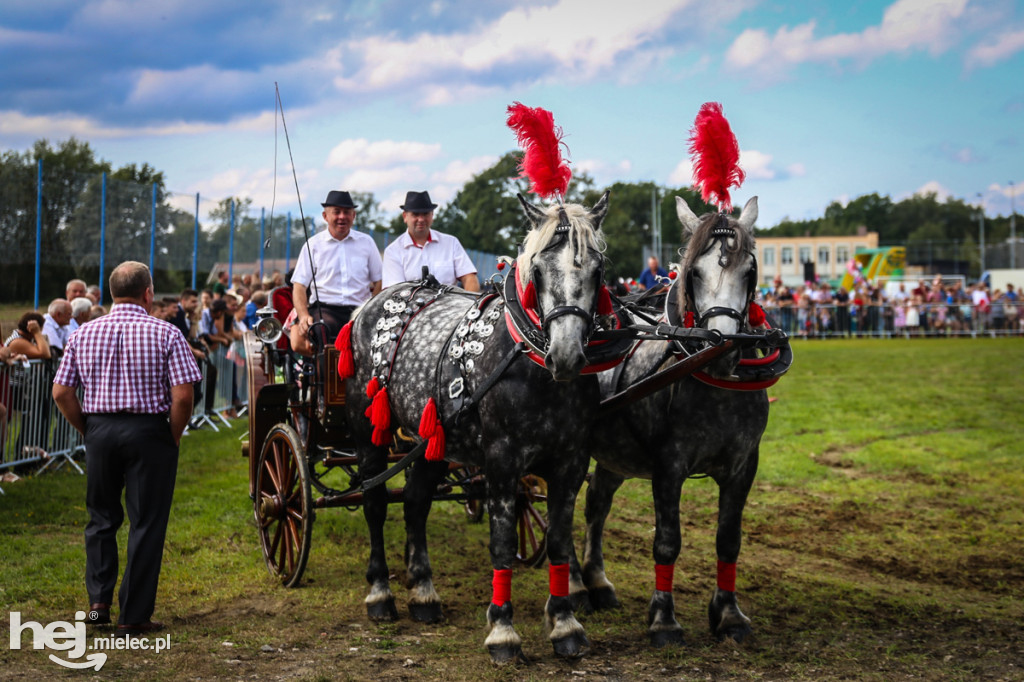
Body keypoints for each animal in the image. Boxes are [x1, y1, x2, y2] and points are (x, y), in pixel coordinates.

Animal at [348, 189, 606, 659]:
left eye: (598, 269)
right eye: (538, 269)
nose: (565, 355)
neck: (529, 362)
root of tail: (372, 304)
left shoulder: (572, 462)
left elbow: (560, 541)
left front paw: (565, 623)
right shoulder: (501, 460)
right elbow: (502, 542)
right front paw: (503, 630)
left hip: (431, 439)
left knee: (415, 501)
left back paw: (424, 593)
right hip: (367, 431)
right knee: (375, 502)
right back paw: (380, 593)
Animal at [577, 195, 770, 643]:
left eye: (749, 269)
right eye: (694, 271)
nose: (723, 346)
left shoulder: (744, 465)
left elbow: (728, 540)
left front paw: (729, 615)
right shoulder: (669, 465)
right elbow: (667, 540)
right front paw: (664, 619)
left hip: (615, 454)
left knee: (597, 504)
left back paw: (597, 582)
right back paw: (575, 586)